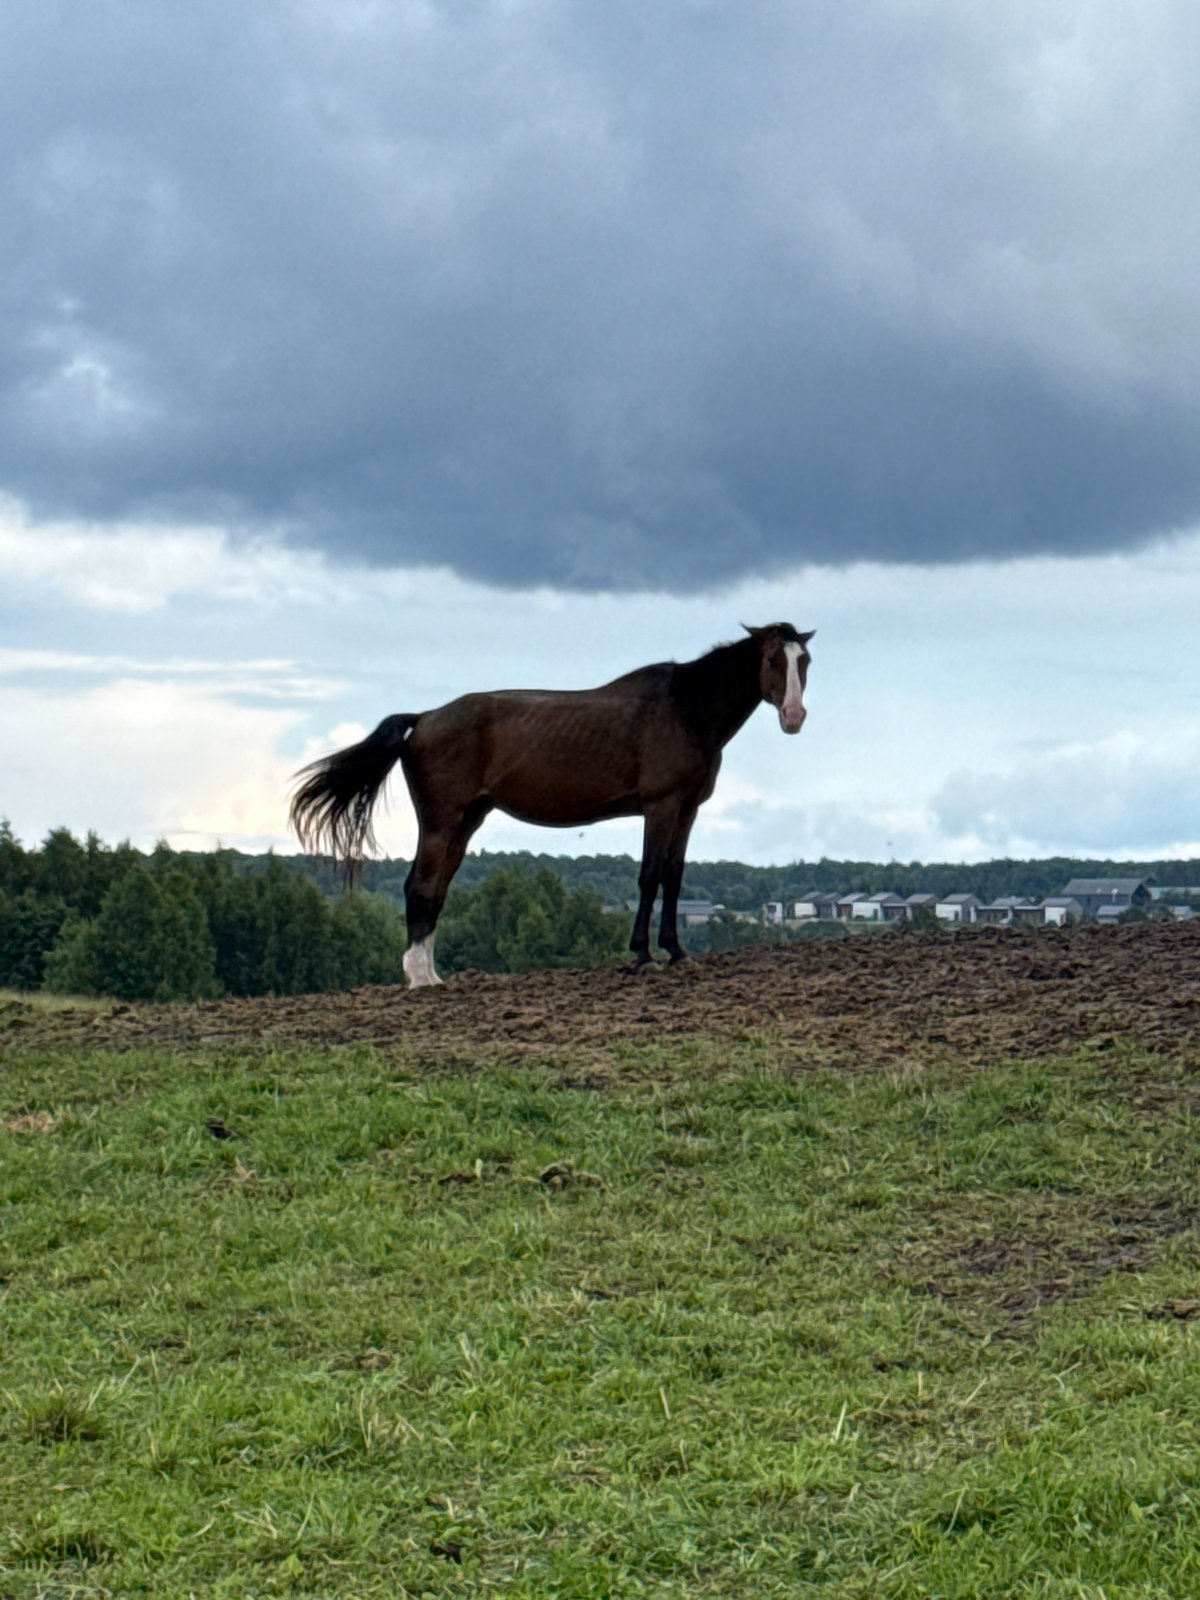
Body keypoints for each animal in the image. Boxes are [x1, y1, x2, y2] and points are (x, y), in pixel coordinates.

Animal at [290, 622, 813, 986]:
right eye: (772, 658)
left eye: (804, 660)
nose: (794, 716)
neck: (685, 709)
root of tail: (425, 718)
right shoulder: (660, 807)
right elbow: (649, 877)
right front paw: (643, 955)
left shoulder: (687, 810)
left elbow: (674, 876)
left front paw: (677, 951)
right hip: (440, 821)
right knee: (419, 885)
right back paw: (419, 977)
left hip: (466, 821)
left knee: (437, 889)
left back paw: (434, 974)